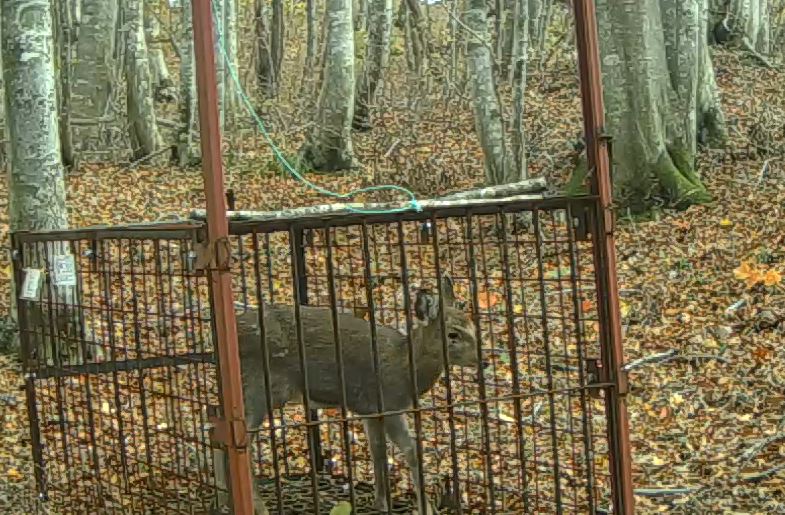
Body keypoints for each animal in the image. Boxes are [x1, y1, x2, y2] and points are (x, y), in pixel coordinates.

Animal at [211, 276, 478, 515]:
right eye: (453, 334)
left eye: (474, 328)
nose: (481, 360)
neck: (405, 368)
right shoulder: (389, 403)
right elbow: (412, 450)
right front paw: (426, 509)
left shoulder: (370, 410)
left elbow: (378, 450)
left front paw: (382, 502)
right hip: (259, 387)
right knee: (240, 443)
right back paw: (258, 507)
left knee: (216, 429)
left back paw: (224, 499)